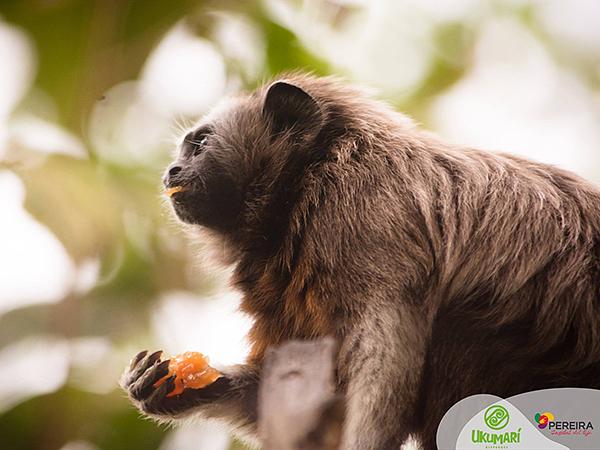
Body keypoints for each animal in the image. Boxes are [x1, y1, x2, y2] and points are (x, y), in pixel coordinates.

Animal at [120, 74, 600, 450]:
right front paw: (169, 386)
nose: (170, 172)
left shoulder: (365, 215)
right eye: (182, 151)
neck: (304, 187)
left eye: (199, 144)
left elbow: (388, 355)